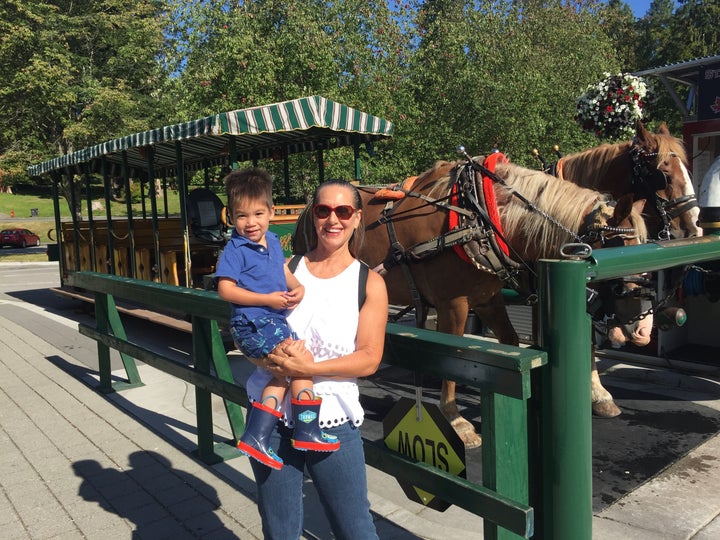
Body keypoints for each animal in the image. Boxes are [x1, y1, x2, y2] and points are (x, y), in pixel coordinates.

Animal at [292, 158, 648, 450]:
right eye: (619, 246)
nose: (642, 323)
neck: (478, 217)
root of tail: (308, 207)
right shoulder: (454, 304)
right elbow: (454, 352)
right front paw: (457, 421)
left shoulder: (487, 298)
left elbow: (511, 343)